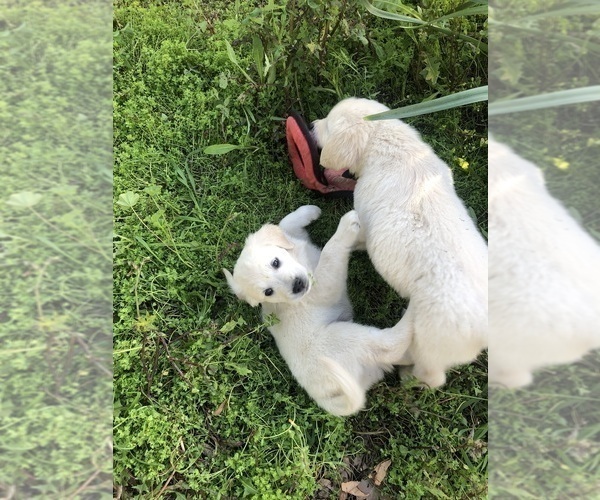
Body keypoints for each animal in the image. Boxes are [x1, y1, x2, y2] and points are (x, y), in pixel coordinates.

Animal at [223, 205, 414, 416]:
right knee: (390, 345)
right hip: (344, 337)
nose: (298, 285)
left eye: (275, 262)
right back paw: (415, 309)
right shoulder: (322, 287)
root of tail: (328, 400)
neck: (303, 261)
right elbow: (330, 253)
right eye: (268, 292)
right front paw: (347, 225)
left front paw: (310, 211)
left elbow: (286, 224)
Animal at [312, 96, 490, 386]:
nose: (314, 124)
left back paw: (408, 375)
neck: (391, 143)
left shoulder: (364, 212)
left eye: (328, 126)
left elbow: (360, 234)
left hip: (430, 344)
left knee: (432, 376)